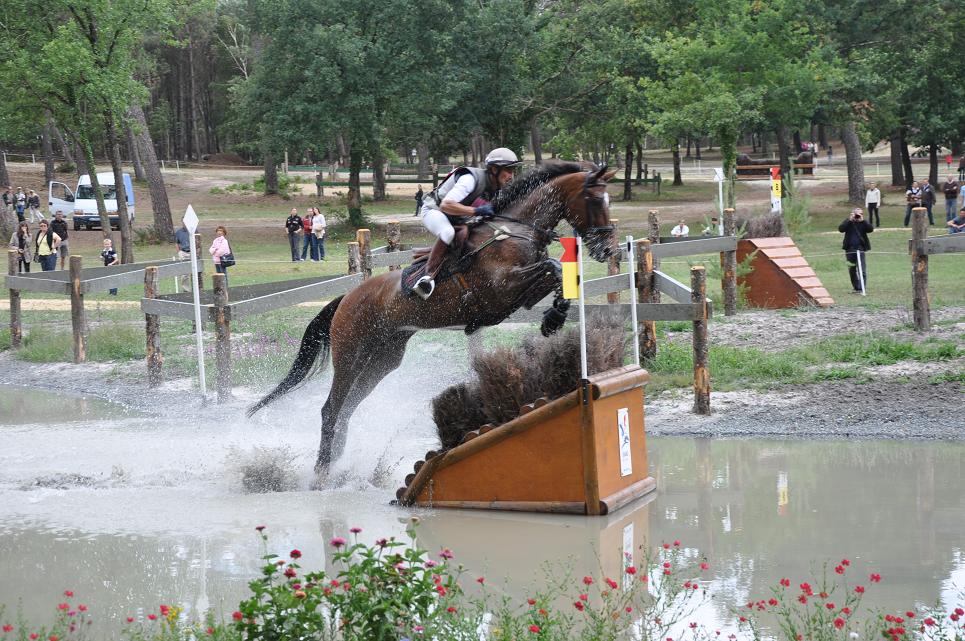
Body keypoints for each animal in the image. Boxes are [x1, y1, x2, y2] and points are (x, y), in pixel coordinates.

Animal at [245, 161, 612, 476]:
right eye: (595, 199)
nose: (607, 249)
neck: (513, 230)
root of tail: (347, 298)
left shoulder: (519, 294)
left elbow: (557, 273)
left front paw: (554, 317)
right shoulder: (502, 289)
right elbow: (552, 266)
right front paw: (553, 317)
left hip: (382, 359)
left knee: (347, 408)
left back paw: (336, 460)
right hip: (349, 355)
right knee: (331, 408)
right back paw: (321, 470)